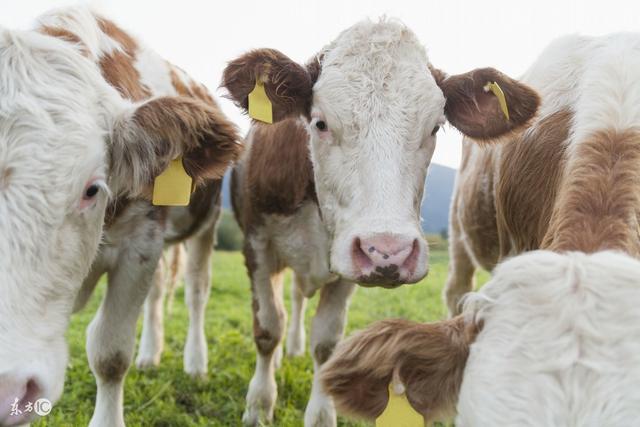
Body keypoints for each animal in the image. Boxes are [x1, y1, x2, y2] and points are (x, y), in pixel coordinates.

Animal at [0, 6, 241, 427]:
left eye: (92, 189)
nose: (5, 387)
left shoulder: (139, 247)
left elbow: (109, 354)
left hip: (205, 226)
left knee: (196, 292)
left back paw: (195, 362)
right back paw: (150, 354)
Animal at [222, 17, 536, 427]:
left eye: (435, 127)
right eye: (320, 123)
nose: (389, 251)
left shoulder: (345, 266)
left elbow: (326, 343)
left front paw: (320, 414)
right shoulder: (256, 244)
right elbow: (267, 328)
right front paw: (259, 405)